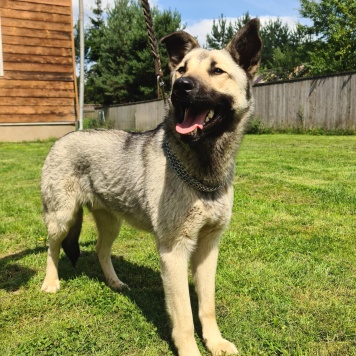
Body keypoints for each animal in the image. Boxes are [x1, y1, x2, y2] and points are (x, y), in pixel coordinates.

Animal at [40, 18, 262, 356]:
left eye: (216, 71)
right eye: (181, 70)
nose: (180, 87)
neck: (203, 171)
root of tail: (65, 137)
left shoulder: (208, 248)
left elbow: (206, 305)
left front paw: (215, 342)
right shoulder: (174, 252)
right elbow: (184, 317)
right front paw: (191, 350)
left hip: (111, 221)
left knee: (102, 249)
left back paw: (115, 283)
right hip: (61, 217)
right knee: (53, 248)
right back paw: (51, 283)